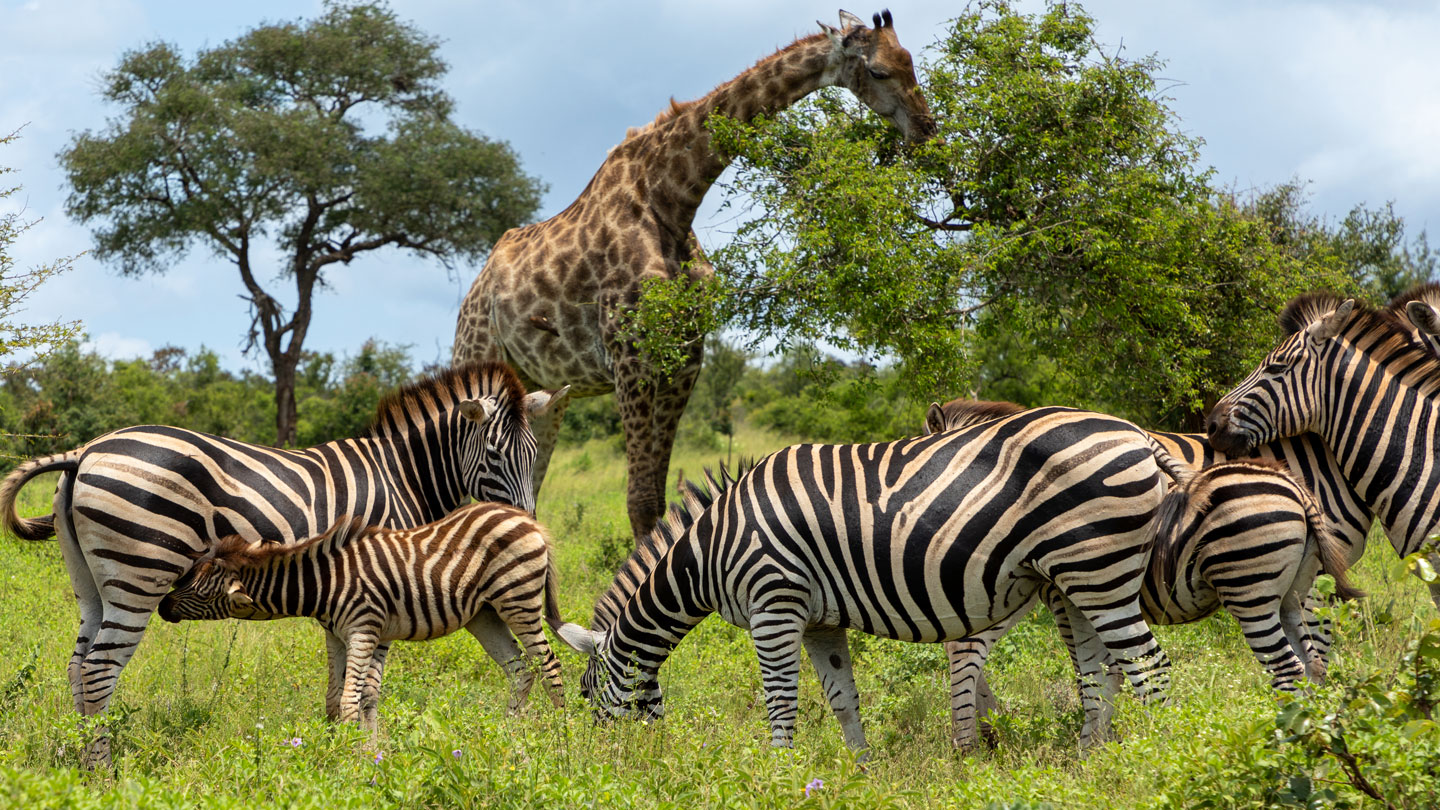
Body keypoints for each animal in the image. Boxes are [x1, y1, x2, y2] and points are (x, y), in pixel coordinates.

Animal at [156, 501, 561, 729]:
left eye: (200, 585)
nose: (162, 605)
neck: (324, 584)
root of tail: (527, 520)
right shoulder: (337, 634)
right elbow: (336, 699)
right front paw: (345, 750)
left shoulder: (363, 629)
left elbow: (351, 701)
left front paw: (353, 768)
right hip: (485, 614)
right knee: (521, 672)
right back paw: (509, 735)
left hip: (518, 600)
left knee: (550, 665)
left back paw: (561, 739)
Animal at [455, 11, 938, 536]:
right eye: (878, 71)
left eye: (910, 62)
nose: (927, 129)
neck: (672, 199)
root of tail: (475, 291)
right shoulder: (631, 359)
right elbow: (640, 500)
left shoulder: (683, 361)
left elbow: (656, 495)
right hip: (477, 358)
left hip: (542, 390)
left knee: (530, 488)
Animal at [555, 406, 1175, 755]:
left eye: (585, 695)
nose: (603, 763)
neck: (711, 550)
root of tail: (1138, 435)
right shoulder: (818, 621)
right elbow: (842, 700)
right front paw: (860, 769)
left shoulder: (773, 605)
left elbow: (781, 702)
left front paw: (778, 773)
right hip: (1070, 581)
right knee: (1097, 674)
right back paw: (1088, 761)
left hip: (1098, 569)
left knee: (1149, 669)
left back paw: (1164, 762)